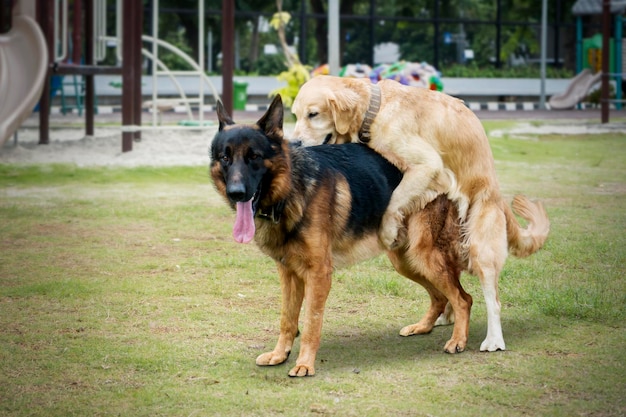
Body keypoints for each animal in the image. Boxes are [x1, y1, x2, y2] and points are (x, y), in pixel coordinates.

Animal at [210, 96, 472, 376]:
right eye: (225, 158)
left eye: (254, 157)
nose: (236, 193)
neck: (291, 190)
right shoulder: (288, 274)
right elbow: (287, 319)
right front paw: (280, 354)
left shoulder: (318, 274)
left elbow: (311, 322)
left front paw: (305, 363)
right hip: (405, 261)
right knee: (441, 297)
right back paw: (423, 327)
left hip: (423, 256)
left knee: (463, 299)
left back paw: (458, 340)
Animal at [288, 75, 544, 352]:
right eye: (296, 115)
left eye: (313, 114)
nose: (293, 143)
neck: (377, 108)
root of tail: (497, 192)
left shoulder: (428, 165)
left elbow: (396, 199)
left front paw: (387, 229)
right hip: (410, 260)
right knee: (448, 291)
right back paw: (439, 320)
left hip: (478, 242)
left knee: (490, 297)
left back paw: (493, 339)